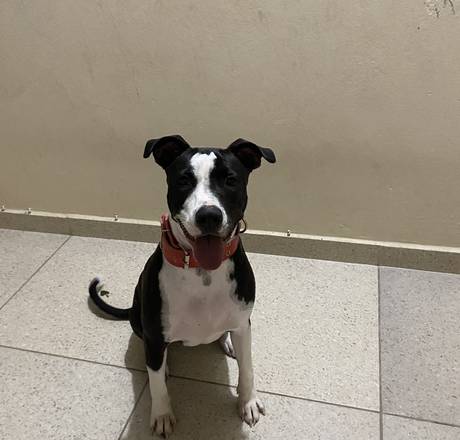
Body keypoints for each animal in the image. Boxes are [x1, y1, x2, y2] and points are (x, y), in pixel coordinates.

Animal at [89, 135, 276, 437]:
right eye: (184, 180)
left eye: (231, 180)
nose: (209, 215)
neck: (201, 270)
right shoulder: (155, 332)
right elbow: (157, 386)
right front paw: (162, 413)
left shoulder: (243, 322)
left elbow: (247, 368)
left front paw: (247, 401)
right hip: (140, 320)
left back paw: (228, 341)